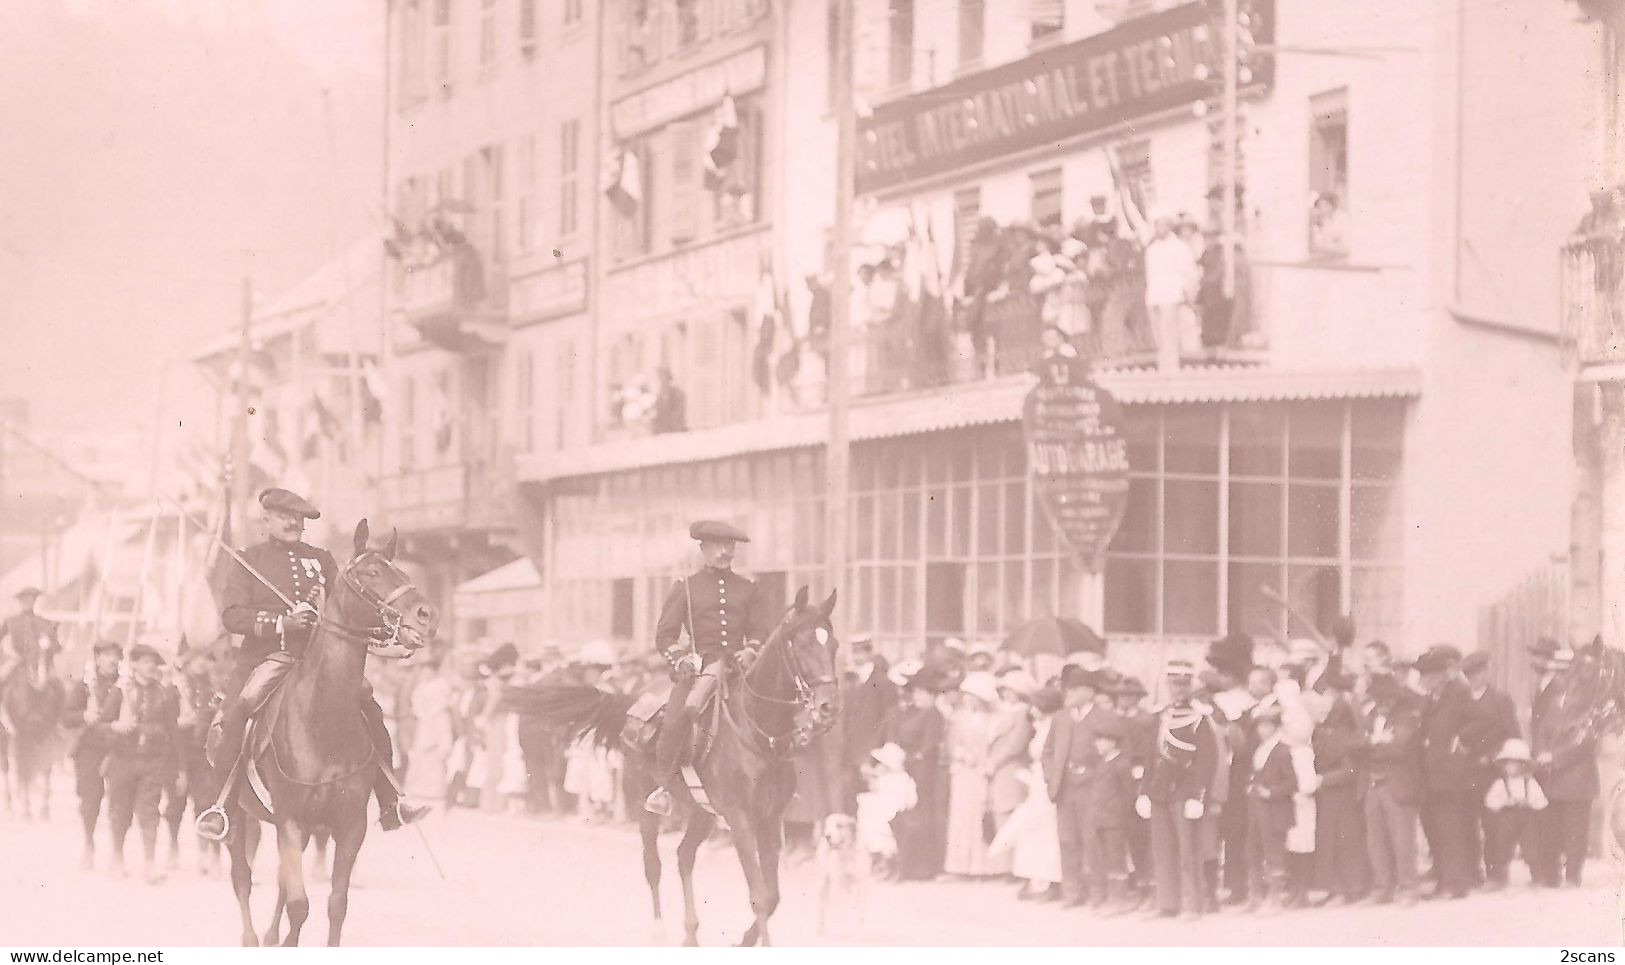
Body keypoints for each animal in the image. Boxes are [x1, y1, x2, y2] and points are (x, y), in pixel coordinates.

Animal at [0, 646, 63, 818]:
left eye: (50, 651)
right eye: (30, 647)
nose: (40, 680)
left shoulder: (46, 733)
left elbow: (45, 768)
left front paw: (44, 810)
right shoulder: (21, 736)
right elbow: (24, 770)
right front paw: (25, 811)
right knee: (7, 766)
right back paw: (9, 806)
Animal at [222, 523, 442, 942]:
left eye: (403, 571)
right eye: (372, 573)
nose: (427, 616)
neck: (322, 724)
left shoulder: (350, 825)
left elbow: (336, 905)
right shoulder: (291, 821)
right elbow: (299, 905)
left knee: (278, 882)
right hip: (239, 818)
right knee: (241, 878)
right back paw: (253, 939)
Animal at [536, 581, 838, 942]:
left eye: (833, 644)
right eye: (802, 644)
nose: (828, 709)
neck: (759, 734)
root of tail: (632, 698)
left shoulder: (769, 820)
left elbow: (773, 896)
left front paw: (743, 943)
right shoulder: (741, 821)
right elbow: (760, 896)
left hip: (701, 812)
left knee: (684, 856)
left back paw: (691, 934)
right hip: (643, 804)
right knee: (653, 866)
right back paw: (659, 932)